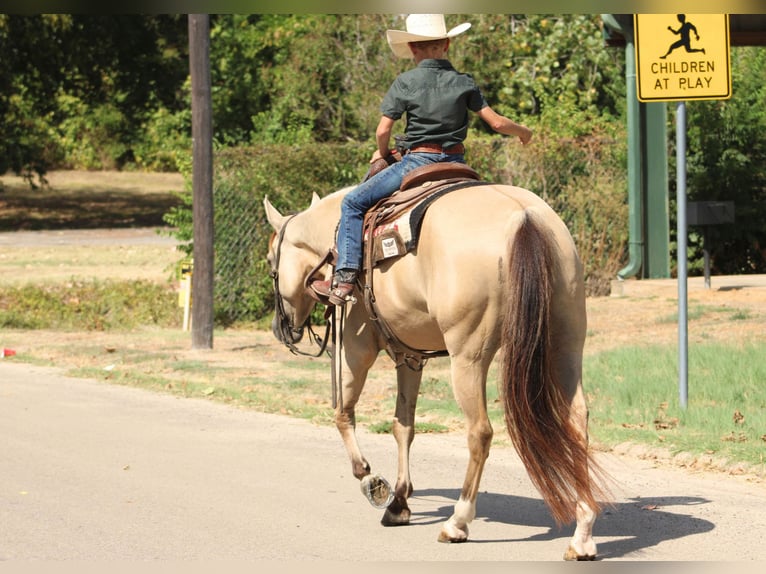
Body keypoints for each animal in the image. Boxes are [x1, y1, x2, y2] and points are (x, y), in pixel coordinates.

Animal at [264, 180, 608, 560]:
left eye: (271, 262)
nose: (281, 329)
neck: (333, 240)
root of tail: (524, 217)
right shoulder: (409, 356)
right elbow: (403, 426)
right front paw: (398, 503)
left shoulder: (354, 348)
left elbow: (342, 414)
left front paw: (371, 481)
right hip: (566, 346)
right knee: (577, 422)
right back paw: (582, 535)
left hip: (468, 357)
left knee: (480, 433)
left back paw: (457, 522)